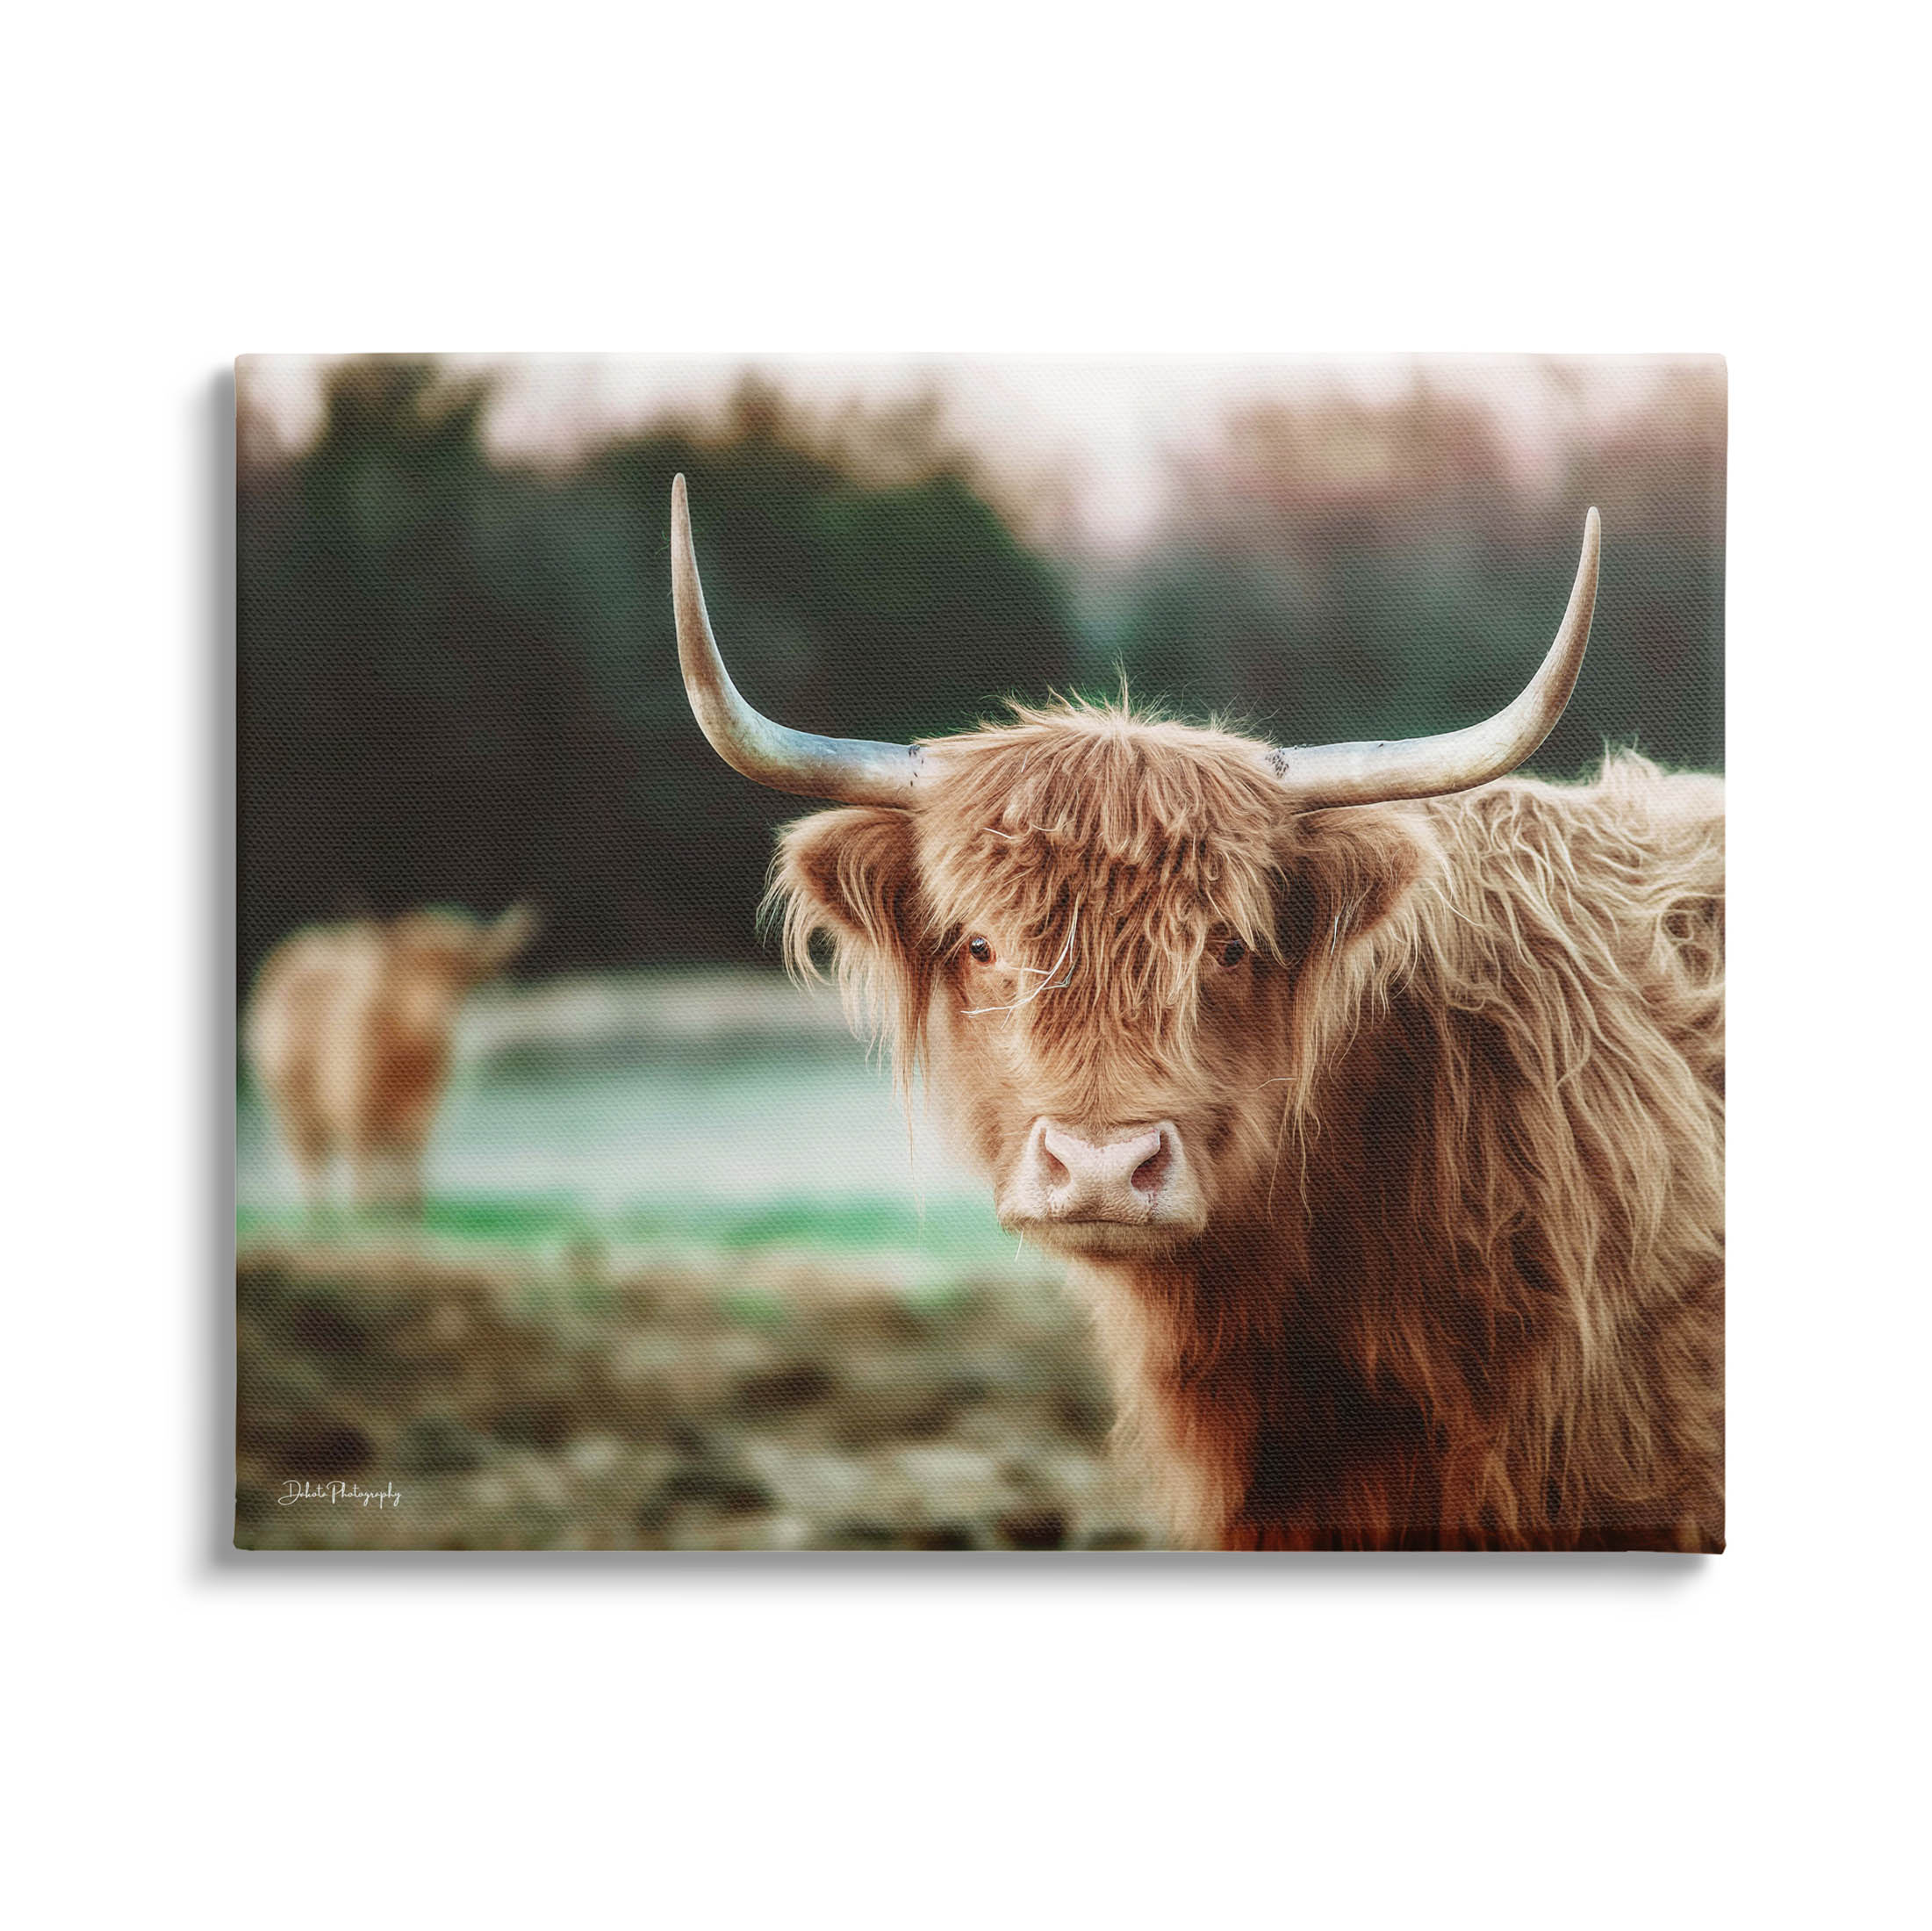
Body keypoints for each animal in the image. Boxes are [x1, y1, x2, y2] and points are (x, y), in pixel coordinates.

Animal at [244, 905, 539, 1213]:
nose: (436, 1014)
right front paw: (365, 1211)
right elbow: (363, 1186)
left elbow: (410, 1182)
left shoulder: (420, 1120)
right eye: (410, 975)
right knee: (313, 1169)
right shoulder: (356, 1116)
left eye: (460, 977)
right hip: (293, 1109)